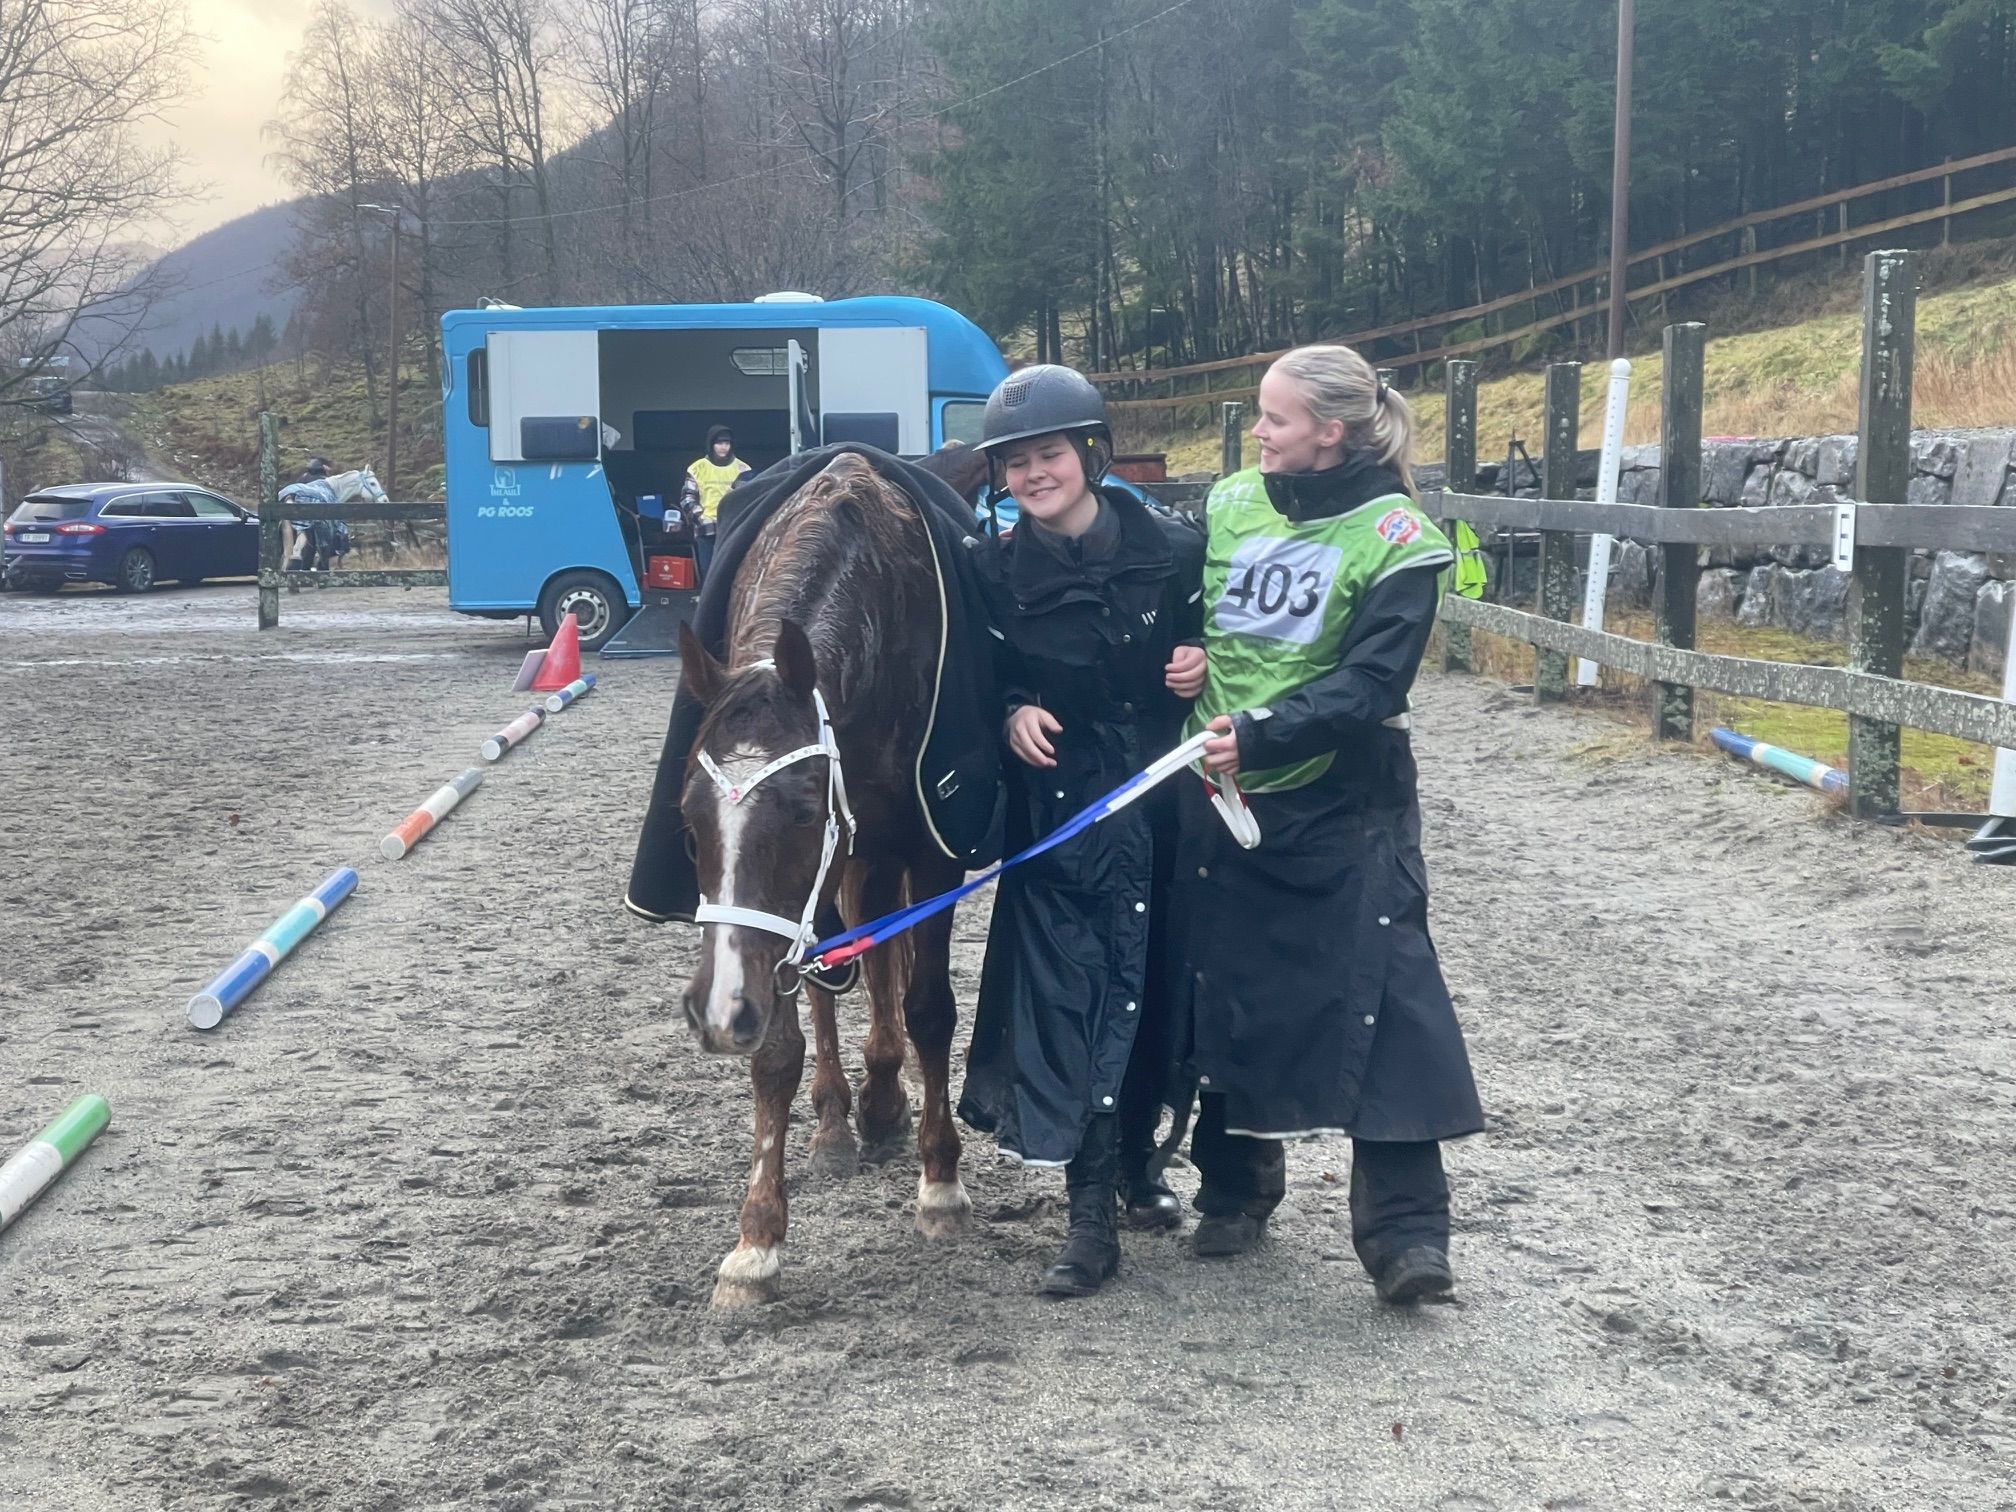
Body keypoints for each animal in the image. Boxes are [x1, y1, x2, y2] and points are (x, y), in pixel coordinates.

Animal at [673, 450, 975, 1306]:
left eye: (805, 812)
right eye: (687, 823)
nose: (716, 1012)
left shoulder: (927, 849)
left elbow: (929, 1007)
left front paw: (941, 1183)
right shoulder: (781, 917)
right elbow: (780, 1042)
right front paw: (757, 1238)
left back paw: (883, 1100)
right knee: (838, 973)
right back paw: (844, 1116)